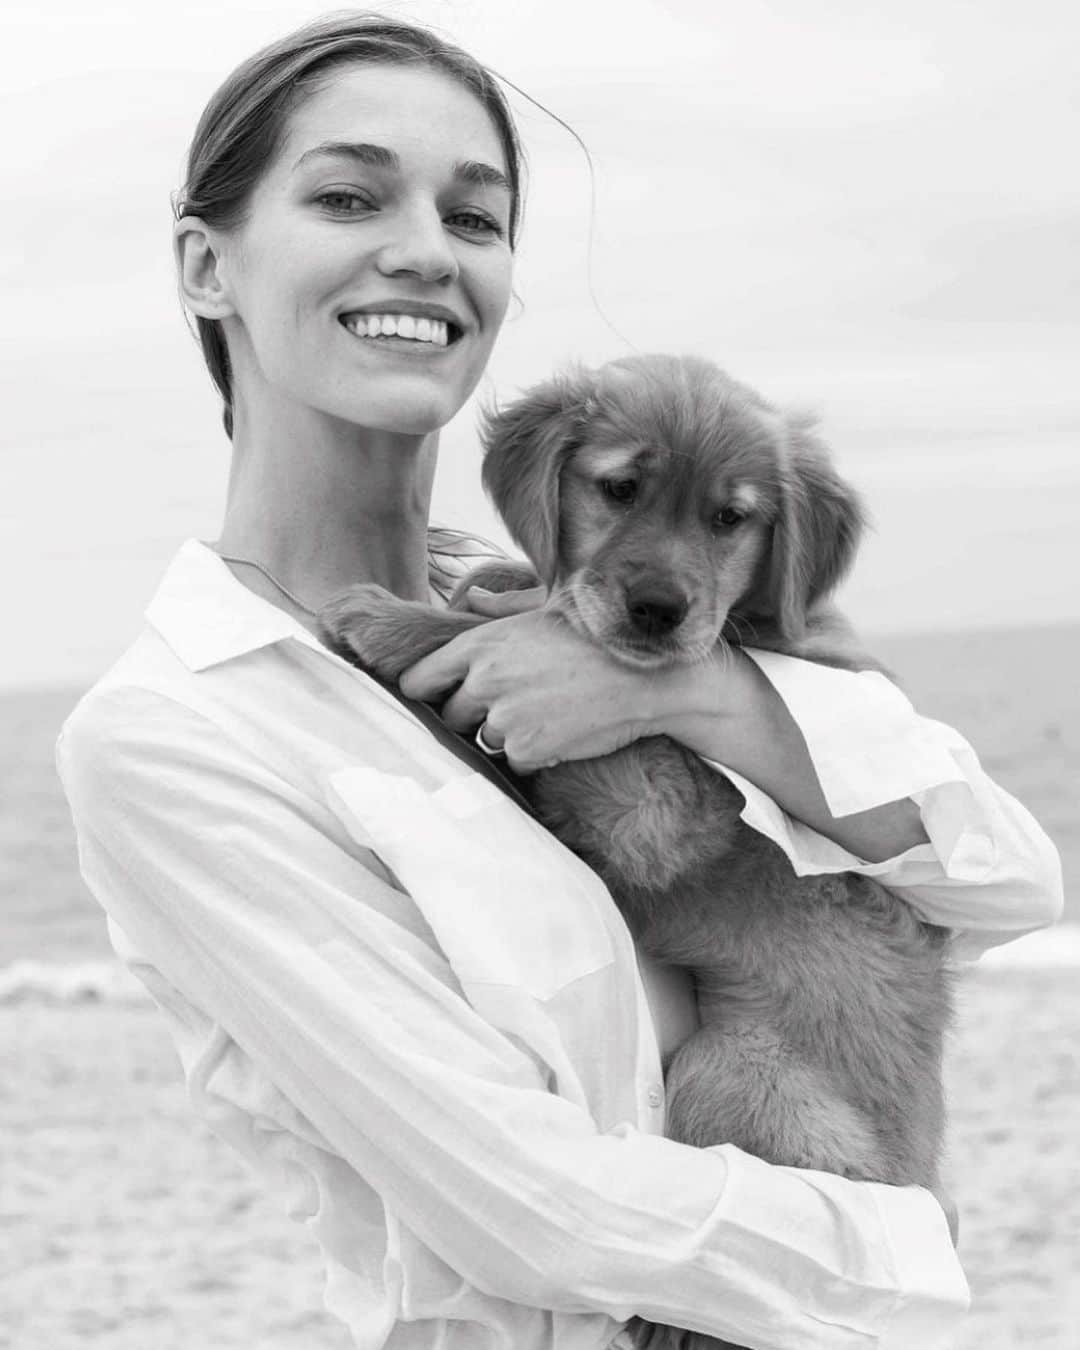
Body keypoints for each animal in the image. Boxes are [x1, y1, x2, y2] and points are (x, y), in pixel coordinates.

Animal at [315, 353, 950, 1350]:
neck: (741, 629)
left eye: (732, 519)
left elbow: (518, 635)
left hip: (733, 1071)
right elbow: (538, 599)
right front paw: (498, 578)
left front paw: (397, 616)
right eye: (619, 489)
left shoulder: (659, 798)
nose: (658, 610)